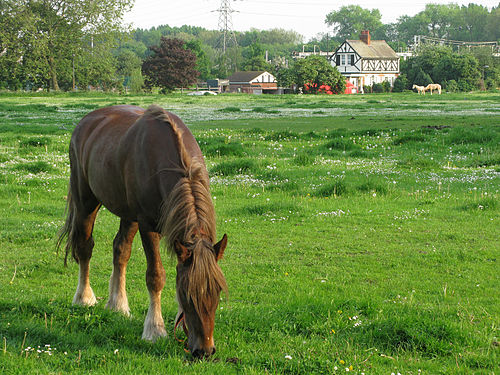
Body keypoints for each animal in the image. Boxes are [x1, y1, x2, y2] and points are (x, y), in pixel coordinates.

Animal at [57, 105, 228, 358]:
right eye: (188, 296)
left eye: (217, 292)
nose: (204, 350)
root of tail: (85, 121)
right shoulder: (148, 226)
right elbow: (155, 276)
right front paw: (155, 330)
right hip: (86, 200)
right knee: (85, 248)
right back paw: (84, 298)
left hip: (128, 214)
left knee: (120, 251)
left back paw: (117, 305)